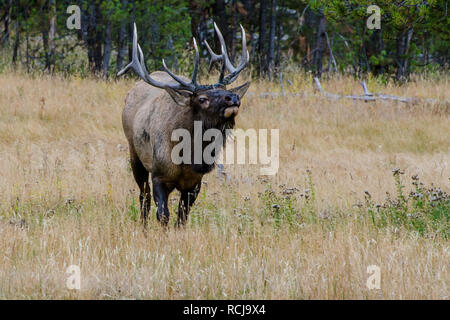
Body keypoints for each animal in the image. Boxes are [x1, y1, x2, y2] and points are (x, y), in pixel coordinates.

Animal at [118, 23, 251, 226]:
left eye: (225, 89)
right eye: (202, 98)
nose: (233, 98)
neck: (188, 158)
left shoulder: (194, 183)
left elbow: (182, 218)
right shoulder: (158, 175)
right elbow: (163, 215)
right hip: (134, 153)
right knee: (144, 197)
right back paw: (143, 226)